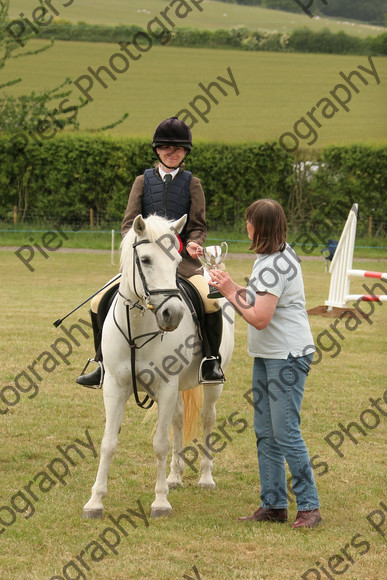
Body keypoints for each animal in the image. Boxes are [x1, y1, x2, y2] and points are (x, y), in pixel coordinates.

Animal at [83, 213, 235, 516]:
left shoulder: (165, 387)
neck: (138, 330)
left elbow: (160, 444)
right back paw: (175, 476)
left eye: (176, 261)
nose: (172, 314)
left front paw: (161, 501)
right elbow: (108, 443)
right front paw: (95, 501)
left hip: (211, 386)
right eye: (145, 260)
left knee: (207, 419)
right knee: (177, 419)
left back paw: (206, 478)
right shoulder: (115, 388)